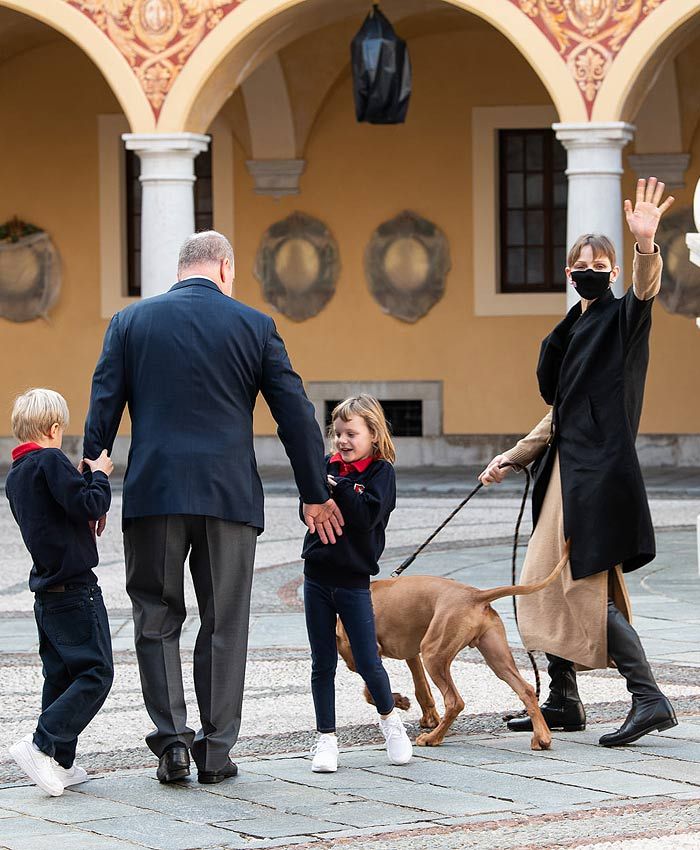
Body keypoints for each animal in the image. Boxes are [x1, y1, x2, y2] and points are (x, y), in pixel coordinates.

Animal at [336, 544, 572, 748]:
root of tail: (474, 594)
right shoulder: (412, 654)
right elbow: (421, 688)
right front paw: (423, 714)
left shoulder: (367, 655)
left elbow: (369, 691)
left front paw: (398, 701)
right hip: (495, 657)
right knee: (527, 689)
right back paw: (542, 738)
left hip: (434, 654)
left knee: (454, 701)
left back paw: (432, 738)